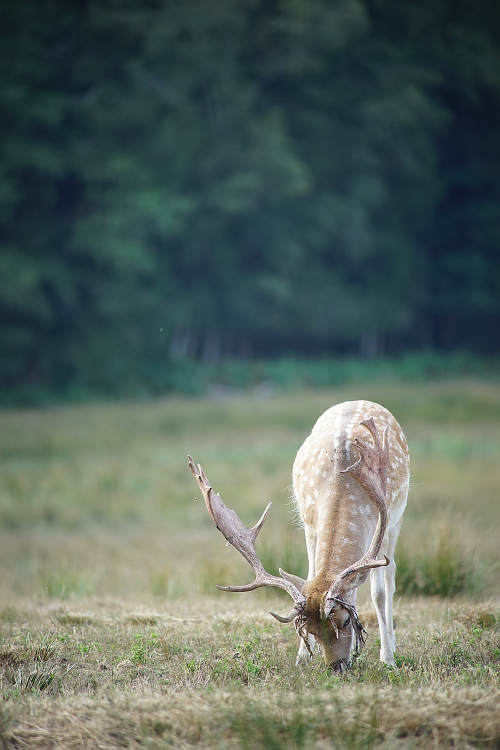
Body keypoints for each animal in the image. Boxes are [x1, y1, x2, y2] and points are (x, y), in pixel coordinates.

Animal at [188, 402, 410, 672]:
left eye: (346, 621)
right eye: (310, 629)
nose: (336, 667)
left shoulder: (382, 524)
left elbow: (378, 593)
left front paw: (387, 659)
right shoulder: (309, 524)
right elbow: (311, 574)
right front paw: (302, 656)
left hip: (397, 518)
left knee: (391, 576)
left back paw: (391, 645)